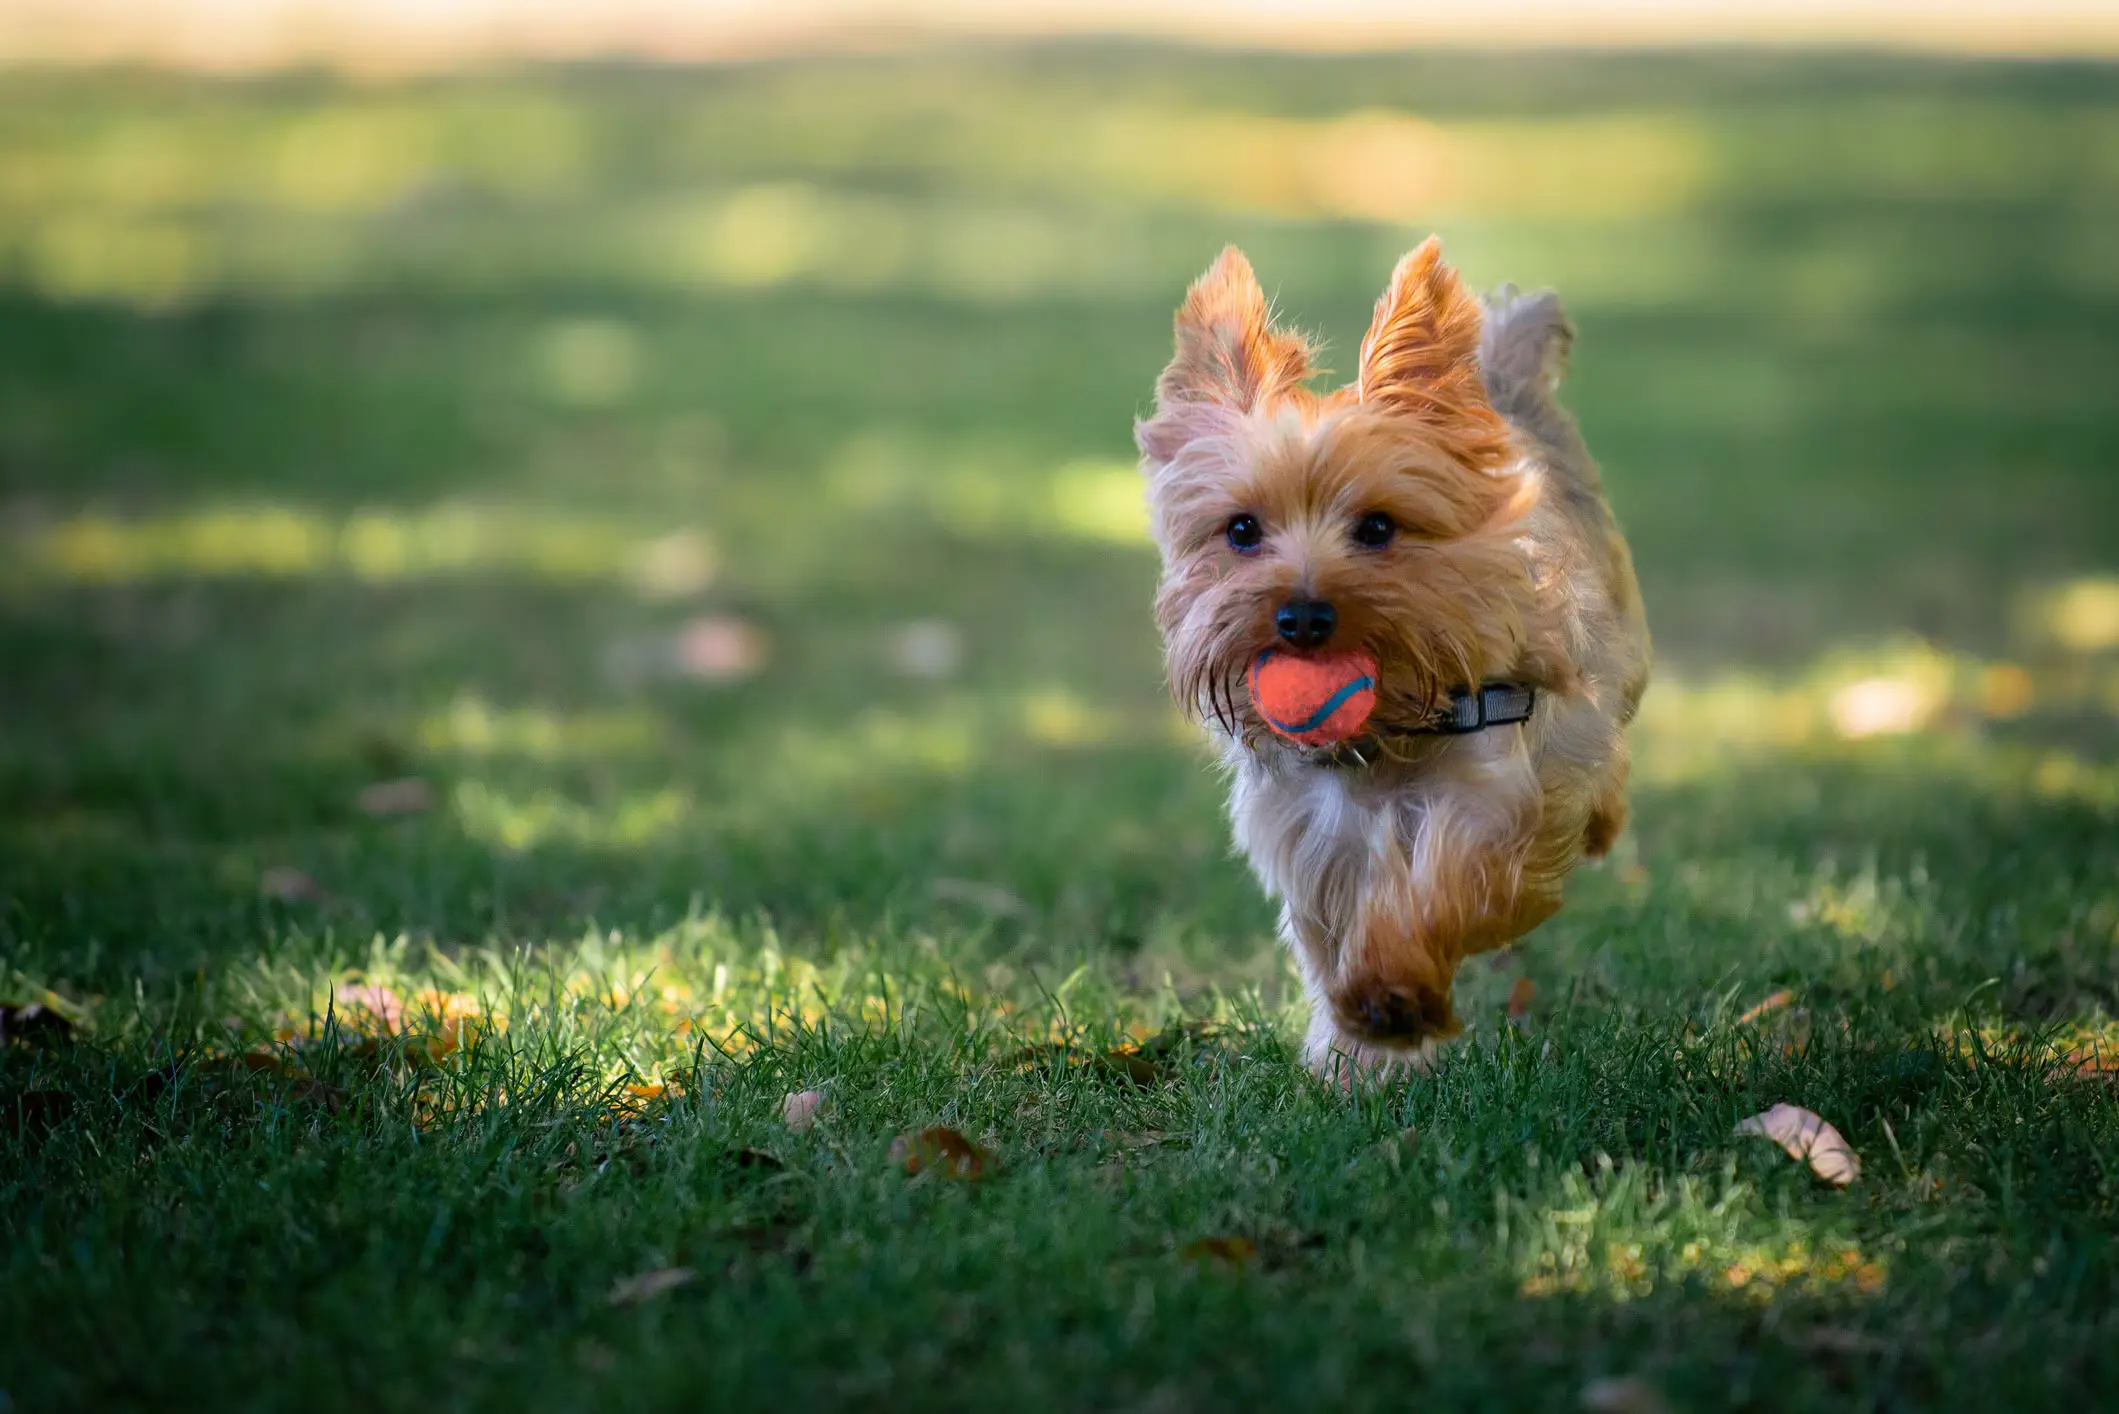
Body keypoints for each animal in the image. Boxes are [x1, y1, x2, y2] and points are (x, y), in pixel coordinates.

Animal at [1135, 240, 1644, 1085]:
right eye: (1241, 530)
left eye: (1377, 527)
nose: (1302, 617)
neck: (1382, 735)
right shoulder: (1310, 837)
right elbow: (1328, 934)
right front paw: (1354, 1054)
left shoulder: (1496, 786)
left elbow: (1447, 882)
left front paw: (1391, 993)